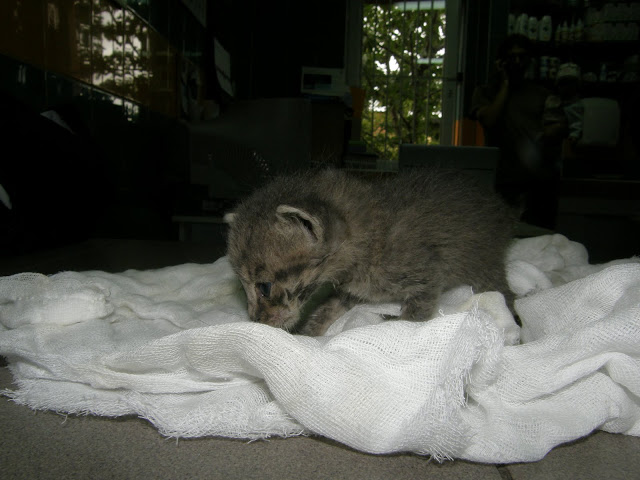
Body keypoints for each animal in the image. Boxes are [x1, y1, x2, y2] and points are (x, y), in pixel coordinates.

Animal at [225, 168, 516, 336]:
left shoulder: (429, 275)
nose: (256, 320)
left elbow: (415, 316)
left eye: (264, 287)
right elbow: (326, 310)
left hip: (485, 264)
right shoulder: (351, 290)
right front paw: (309, 336)